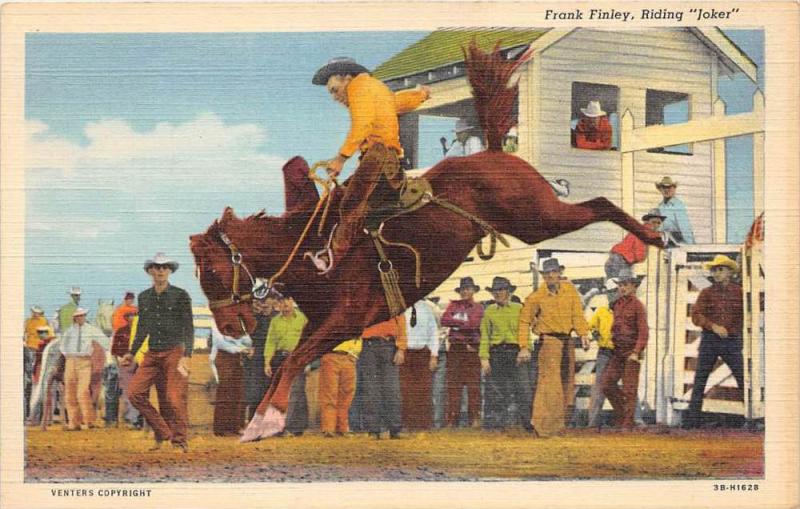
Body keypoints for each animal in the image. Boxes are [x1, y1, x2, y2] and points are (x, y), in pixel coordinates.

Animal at [189, 42, 664, 440]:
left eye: (211, 269)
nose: (228, 327)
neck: (307, 250)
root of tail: (495, 150)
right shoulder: (319, 323)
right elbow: (286, 361)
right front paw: (259, 421)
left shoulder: (345, 321)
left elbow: (291, 360)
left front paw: (263, 422)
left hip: (537, 218)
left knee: (600, 202)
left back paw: (654, 235)